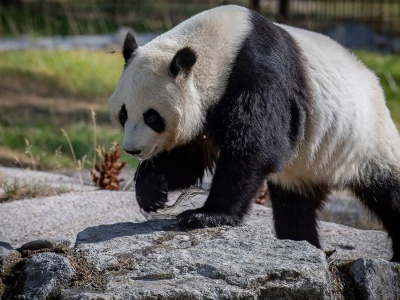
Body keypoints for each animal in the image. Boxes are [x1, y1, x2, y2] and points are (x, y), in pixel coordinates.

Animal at [108, 5, 400, 262]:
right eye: (123, 114)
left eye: (152, 117)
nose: (133, 149)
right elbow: (188, 161)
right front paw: (151, 192)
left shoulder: (258, 75)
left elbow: (256, 147)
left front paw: (205, 215)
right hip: (305, 166)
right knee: (293, 206)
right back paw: (303, 243)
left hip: (367, 138)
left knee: (390, 191)